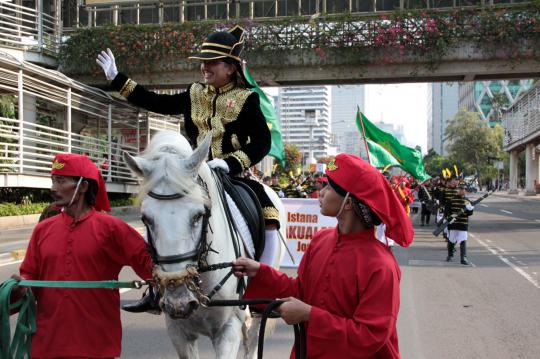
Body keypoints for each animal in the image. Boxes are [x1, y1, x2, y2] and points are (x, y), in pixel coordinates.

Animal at [124, 131, 284, 358]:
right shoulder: (178, 332)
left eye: (198, 215)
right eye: (146, 219)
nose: (179, 301)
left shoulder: (228, 330)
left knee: (252, 342)